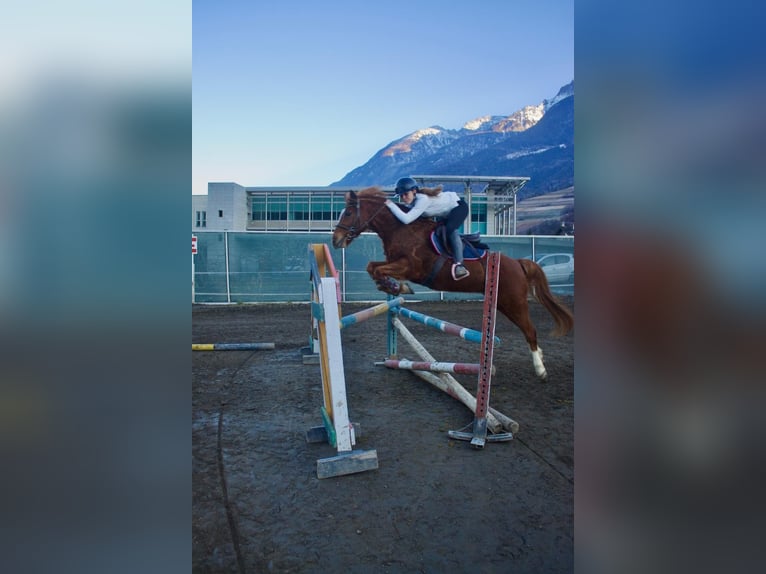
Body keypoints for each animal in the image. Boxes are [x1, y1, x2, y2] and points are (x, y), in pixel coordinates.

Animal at [332, 187, 572, 380]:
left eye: (349, 213)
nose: (336, 240)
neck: (401, 228)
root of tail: (518, 263)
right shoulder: (395, 263)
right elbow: (372, 267)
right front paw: (394, 287)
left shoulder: (411, 267)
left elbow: (378, 269)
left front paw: (397, 286)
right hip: (505, 303)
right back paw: (541, 357)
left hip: (513, 302)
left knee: (530, 330)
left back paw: (540, 369)